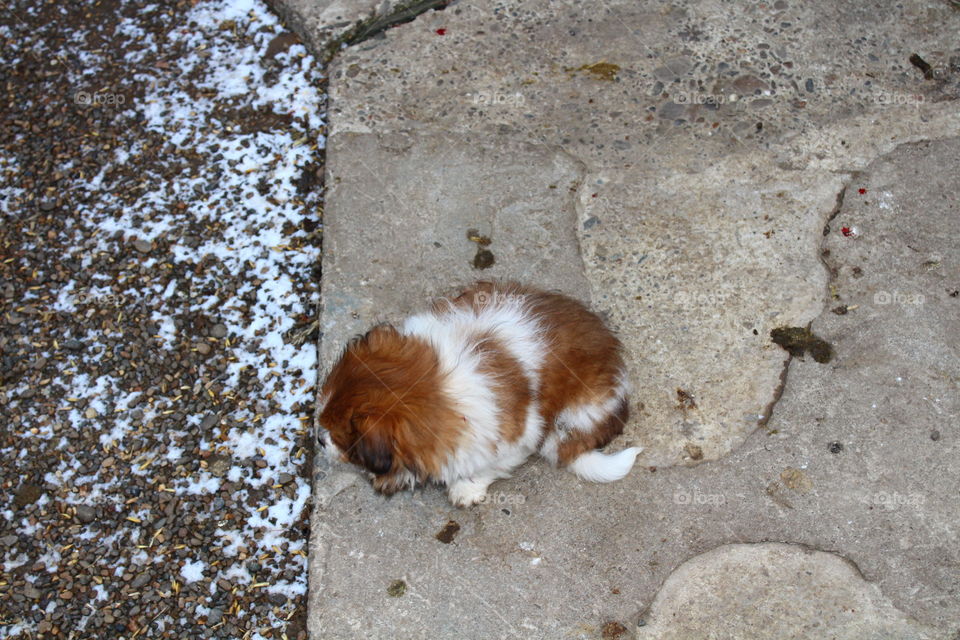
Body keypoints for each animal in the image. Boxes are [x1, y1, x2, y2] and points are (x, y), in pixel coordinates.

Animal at [318, 280, 640, 504]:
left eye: (342, 437)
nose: (320, 440)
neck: (439, 383)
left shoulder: (517, 438)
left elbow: (487, 466)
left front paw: (465, 488)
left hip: (577, 415)